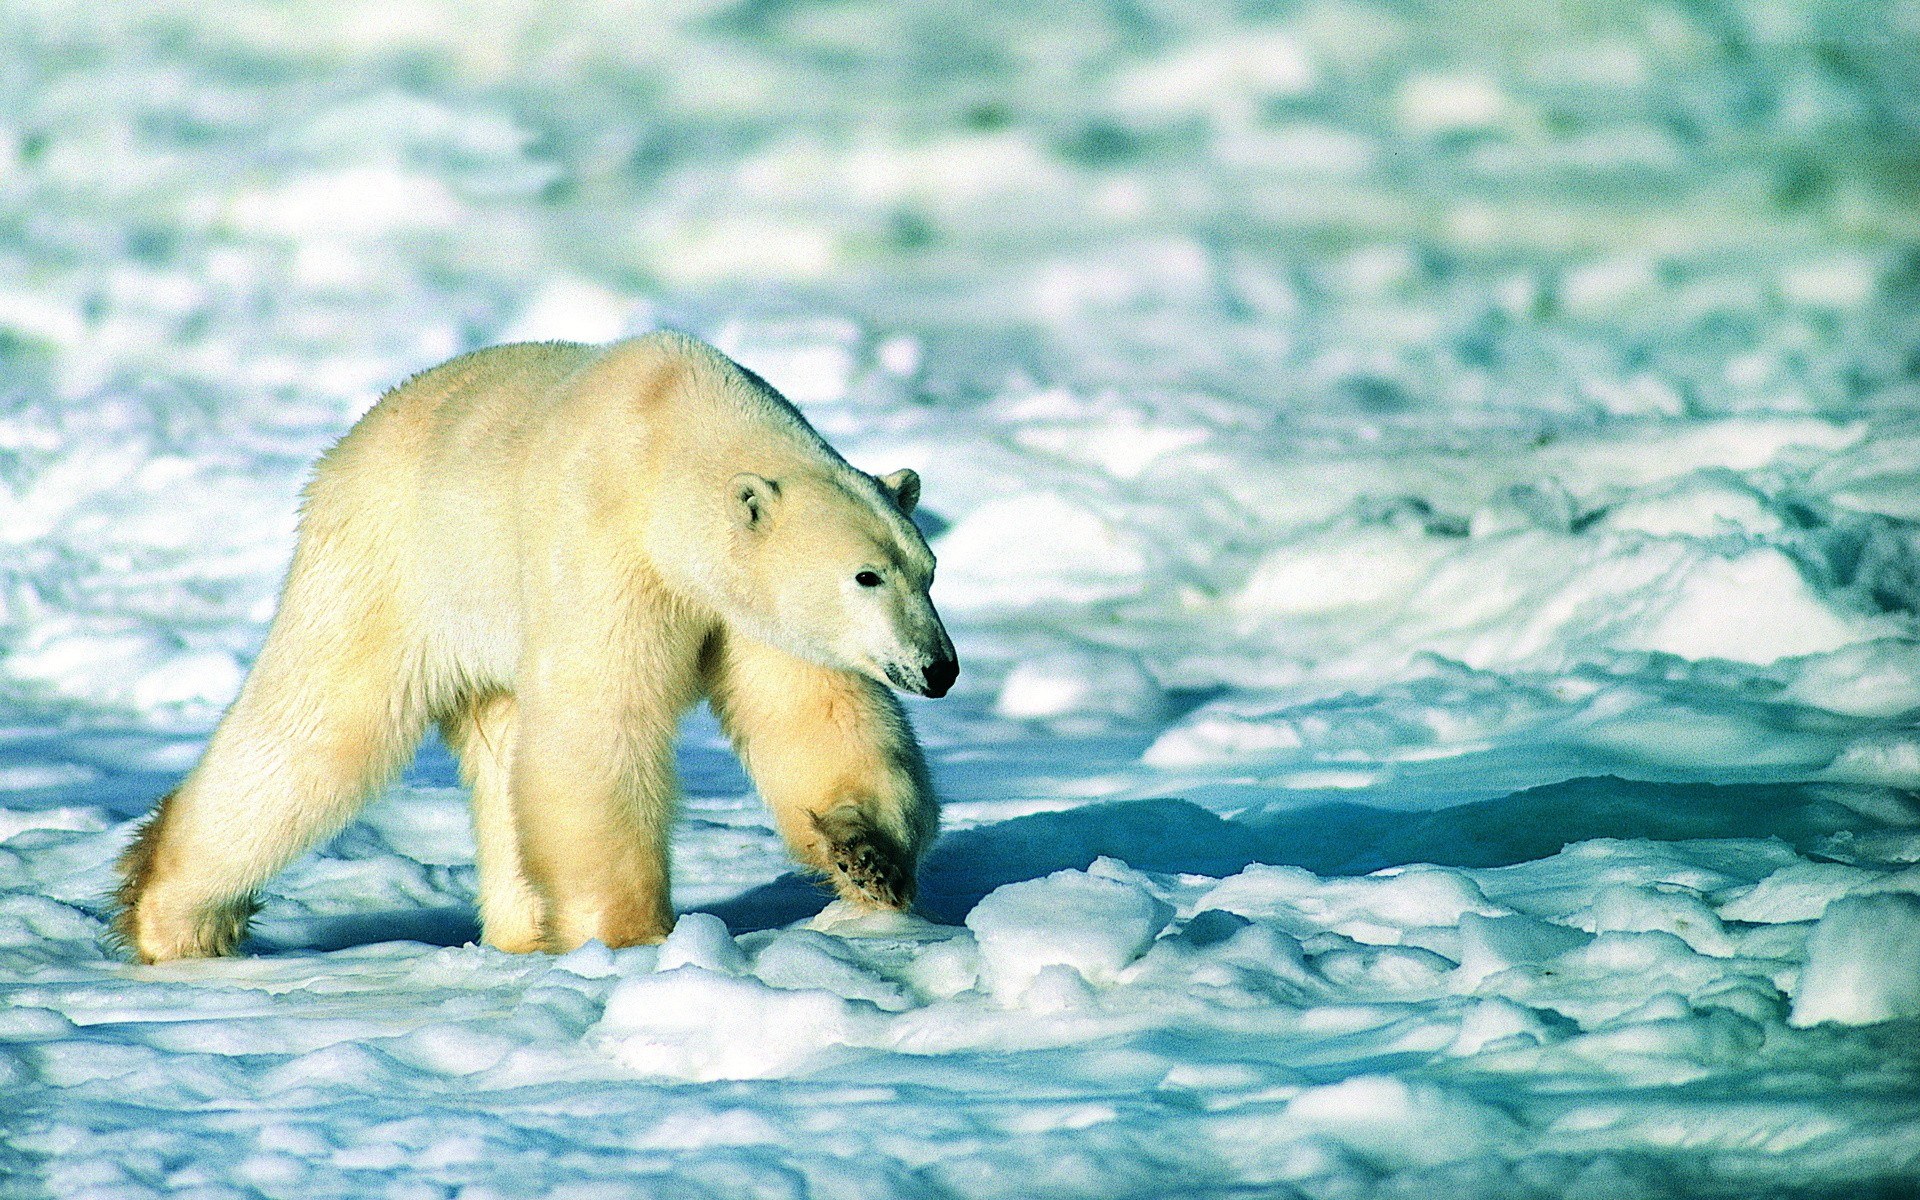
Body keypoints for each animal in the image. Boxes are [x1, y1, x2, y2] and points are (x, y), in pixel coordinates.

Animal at [114, 332, 956, 964]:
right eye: (866, 575)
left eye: (928, 569)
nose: (940, 668)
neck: (672, 433)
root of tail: (345, 448)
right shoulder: (603, 546)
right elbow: (599, 728)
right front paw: (631, 935)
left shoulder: (748, 610)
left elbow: (815, 711)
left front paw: (869, 857)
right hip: (395, 570)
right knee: (315, 730)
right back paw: (174, 919)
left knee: (498, 761)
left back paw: (521, 934)